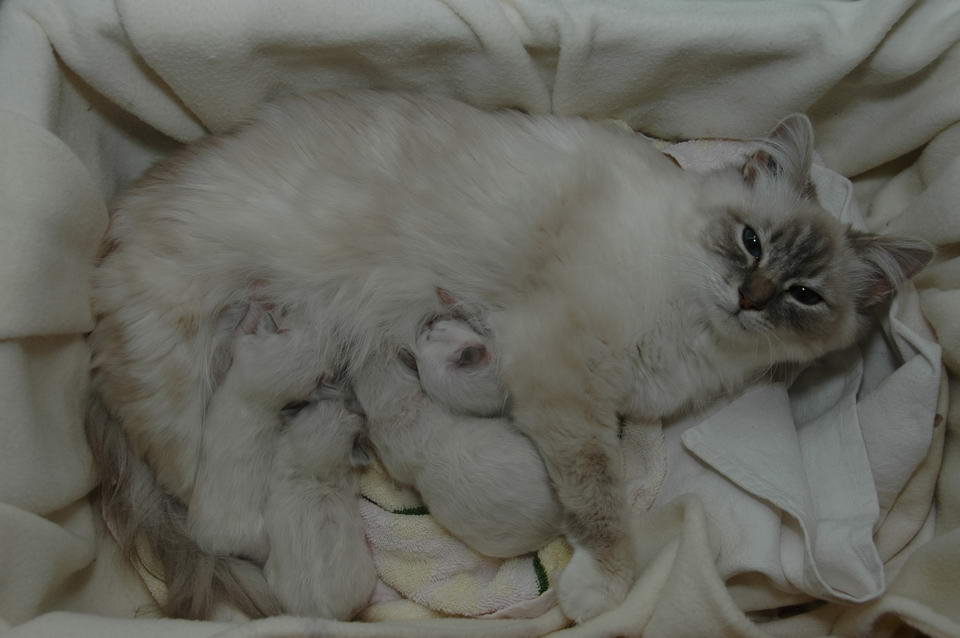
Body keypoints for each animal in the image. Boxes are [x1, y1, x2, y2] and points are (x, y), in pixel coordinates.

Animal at [87, 91, 933, 621]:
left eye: (804, 295)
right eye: (751, 241)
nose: (751, 297)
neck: (690, 328)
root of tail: (119, 212)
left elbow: (611, 472)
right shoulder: (556, 374)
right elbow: (598, 500)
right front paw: (602, 590)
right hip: (184, 400)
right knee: (204, 514)